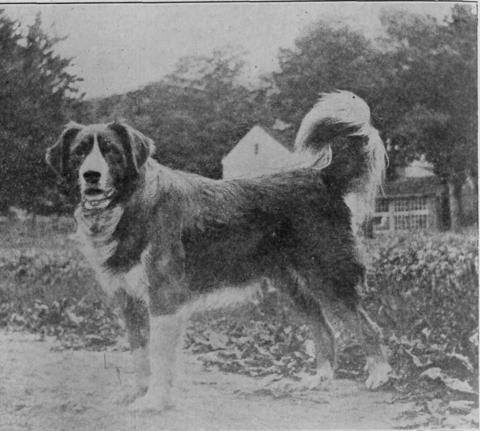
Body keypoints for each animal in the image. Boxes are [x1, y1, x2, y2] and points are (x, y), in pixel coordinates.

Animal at [46, 90, 391, 412]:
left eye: (112, 152)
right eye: (79, 153)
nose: (91, 175)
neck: (130, 205)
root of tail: (321, 176)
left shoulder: (163, 297)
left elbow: (158, 355)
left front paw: (154, 400)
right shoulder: (130, 302)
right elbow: (140, 353)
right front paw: (138, 392)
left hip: (327, 277)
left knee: (368, 327)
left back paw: (378, 374)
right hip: (293, 286)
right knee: (325, 329)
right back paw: (319, 377)